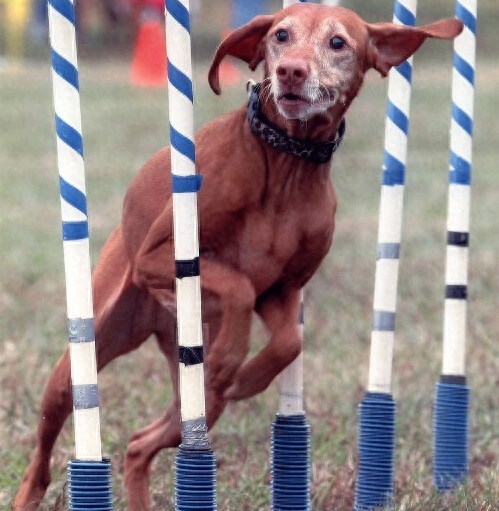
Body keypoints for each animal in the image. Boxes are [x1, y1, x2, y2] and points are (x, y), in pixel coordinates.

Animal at [12, 5, 464, 511]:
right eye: (280, 35)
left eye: (338, 43)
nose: (291, 71)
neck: (286, 166)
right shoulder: (158, 258)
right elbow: (236, 284)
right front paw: (231, 356)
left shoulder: (282, 290)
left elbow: (288, 340)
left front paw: (246, 375)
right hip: (85, 352)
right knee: (49, 436)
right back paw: (28, 492)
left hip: (197, 405)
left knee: (140, 443)